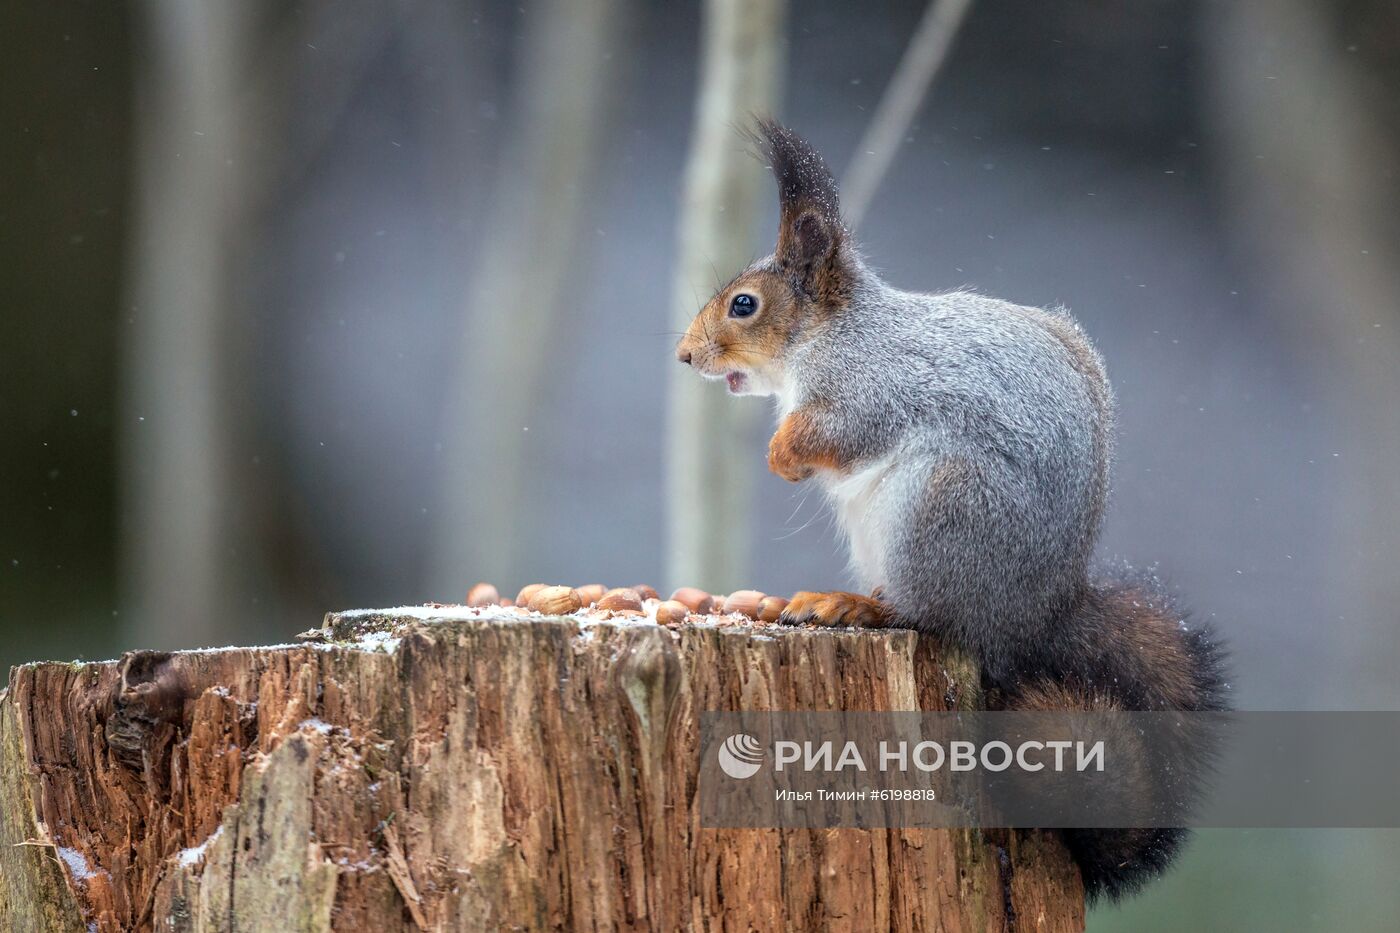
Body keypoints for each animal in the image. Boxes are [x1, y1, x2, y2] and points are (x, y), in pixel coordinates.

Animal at [672, 119, 1232, 896]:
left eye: (744, 305)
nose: (685, 355)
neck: (833, 333)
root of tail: (1032, 619)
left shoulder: (875, 388)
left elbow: (842, 432)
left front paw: (784, 455)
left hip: (940, 509)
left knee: (928, 616)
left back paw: (856, 606)